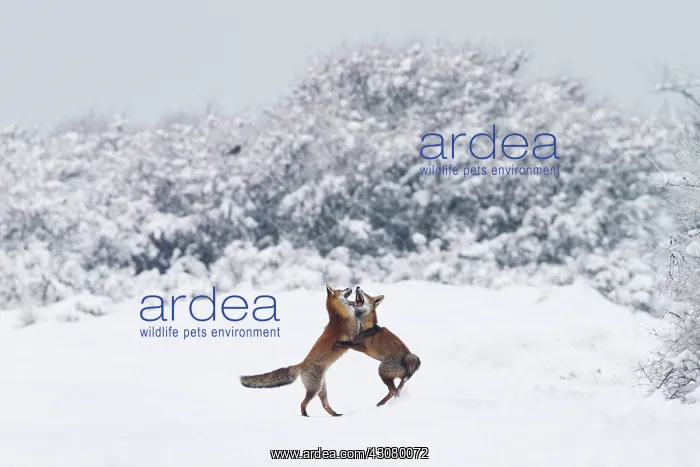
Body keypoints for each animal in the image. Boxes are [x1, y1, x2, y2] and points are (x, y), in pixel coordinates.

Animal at [239, 284, 366, 417]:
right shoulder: (353, 336)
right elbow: (360, 330)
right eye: (342, 290)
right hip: (314, 389)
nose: (352, 287)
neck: (341, 316)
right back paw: (305, 415)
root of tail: (302, 364)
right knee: (302, 403)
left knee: (325, 405)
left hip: (321, 389)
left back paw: (335, 415)